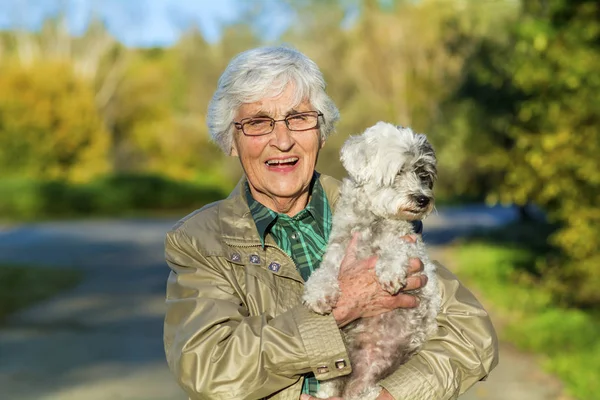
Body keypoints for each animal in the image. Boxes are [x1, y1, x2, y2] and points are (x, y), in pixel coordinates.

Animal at [304, 122, 440, 400]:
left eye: (422, 173)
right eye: (398, 172)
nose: (423, 199)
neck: (374, 221)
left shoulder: (414, 248)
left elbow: (397, 246)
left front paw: (389, 269)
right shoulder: (338, 251)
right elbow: (324, 271)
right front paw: (319, 292)